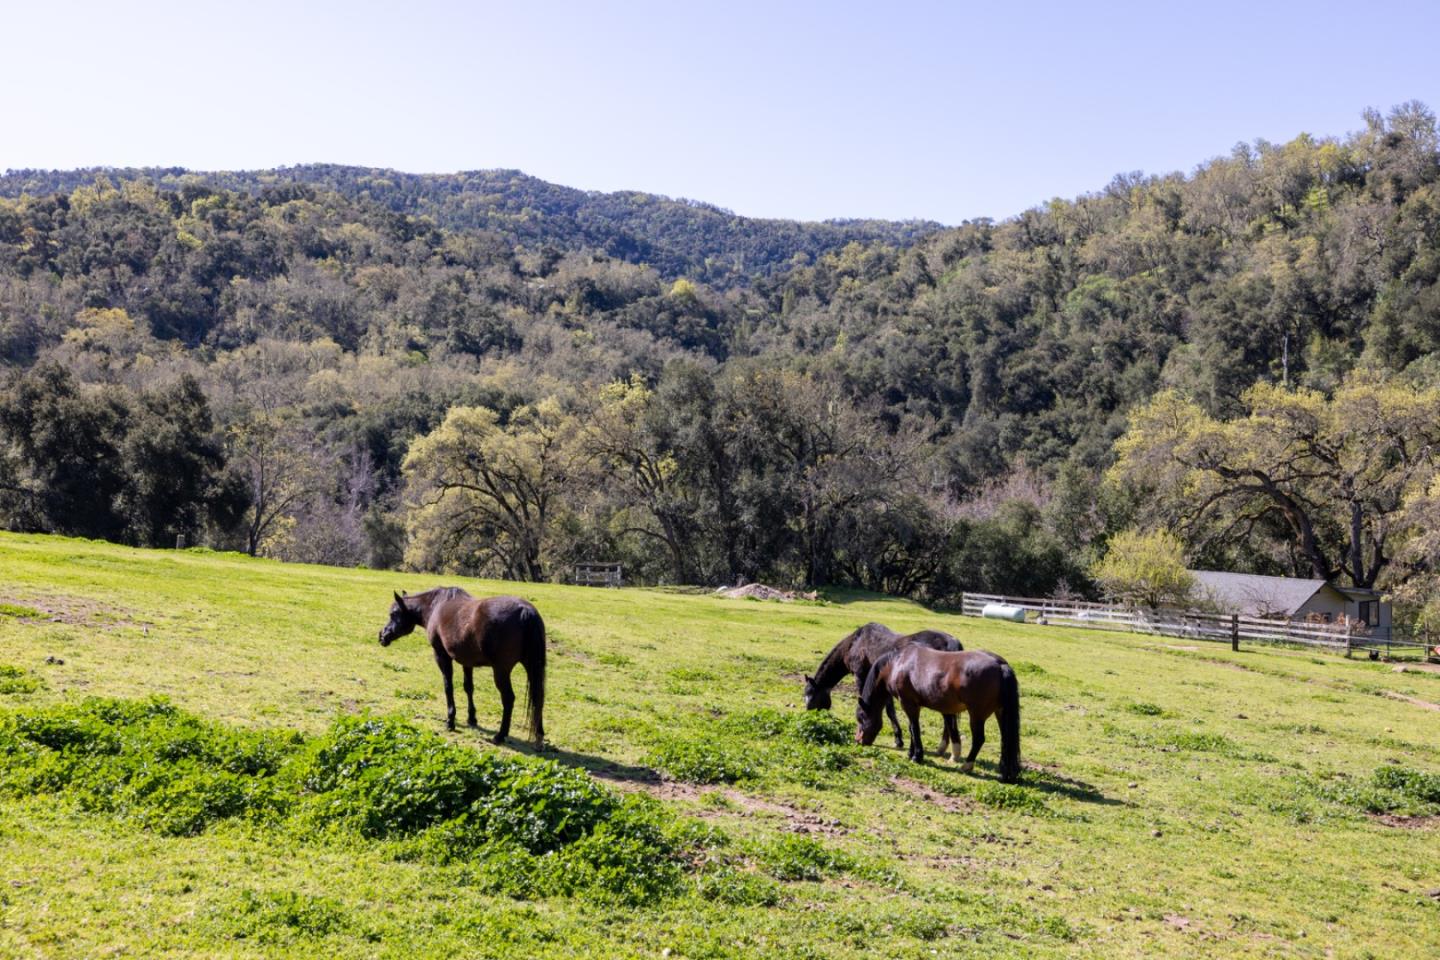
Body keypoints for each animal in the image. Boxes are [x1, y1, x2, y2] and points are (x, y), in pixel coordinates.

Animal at [806, 627, 961, 759]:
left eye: (811, 697)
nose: (809, 715)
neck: (856, 643)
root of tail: (952, 643)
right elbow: (889, 709)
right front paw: (899, 738)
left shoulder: (861, 677)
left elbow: (884, 710)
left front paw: (898, 740)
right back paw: (942, 749)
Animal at [852, 644, 1025, 782]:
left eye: (861, 717)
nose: (858, 741)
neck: (897, 663)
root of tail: (1000, 665)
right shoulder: (914, 704)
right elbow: (912, 728)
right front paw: (911, 753)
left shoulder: (908, 703)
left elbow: (914, 729)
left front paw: (917, 756)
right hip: (1000, 712)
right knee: (1005, 740)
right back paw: (1005, 773)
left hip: (976, 715)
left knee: (979, 739)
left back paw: (967, 765)